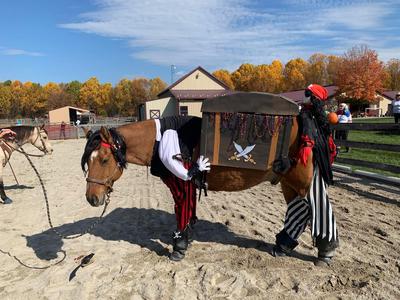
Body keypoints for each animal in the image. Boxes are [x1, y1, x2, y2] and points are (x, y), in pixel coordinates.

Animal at [79, 118, 314, 253]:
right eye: (88, 161)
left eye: (104, 160)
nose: (92, 198)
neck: (160, 138)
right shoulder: (190, 184)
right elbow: (189, 211)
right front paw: (186, 239)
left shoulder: (181, 182)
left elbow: (181, 210)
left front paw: (179, 246)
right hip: (288, 184)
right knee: (298, 211)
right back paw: (283, 244)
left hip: (303, 182)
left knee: (311, 210)